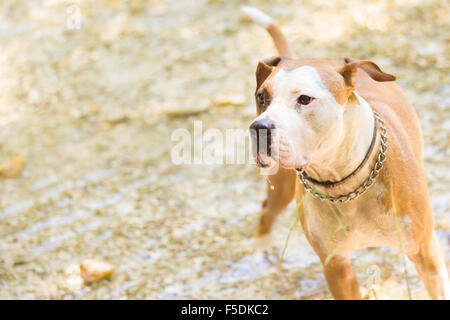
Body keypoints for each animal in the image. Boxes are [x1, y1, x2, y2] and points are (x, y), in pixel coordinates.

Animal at [244, 5, 448, 300]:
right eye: (262, 97)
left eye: (304, 99)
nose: (260, 127)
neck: (344, 183)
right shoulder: (336, 267)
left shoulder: (427, 256)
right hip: (280, 185)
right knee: (266, 212)